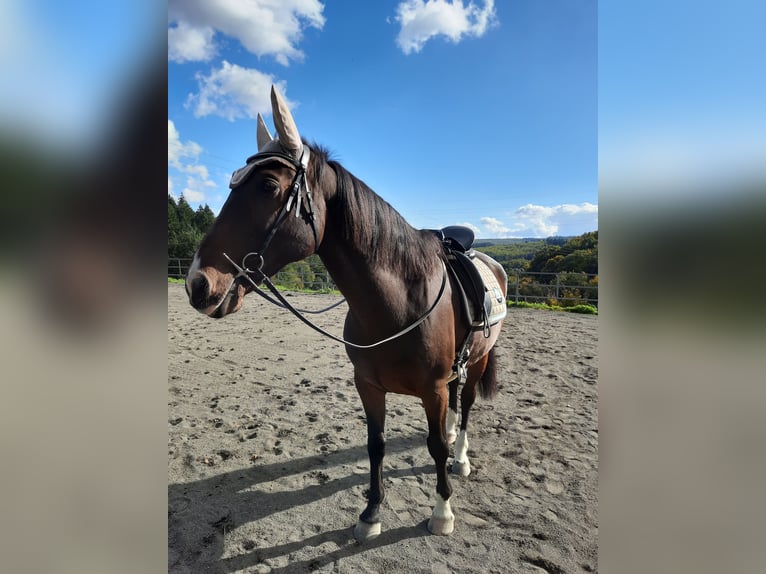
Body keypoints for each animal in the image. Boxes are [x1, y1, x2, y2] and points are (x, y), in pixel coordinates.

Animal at [186, 86, 507, 540]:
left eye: (268, 184)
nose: (197, 284)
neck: (397, 304)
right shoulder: (368, 386)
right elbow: (377, 444)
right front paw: (371, 513)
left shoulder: (432, 390)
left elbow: (434, 446)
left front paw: (442, 512)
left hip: (477, 361)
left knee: (464, 406)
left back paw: (459, 458)